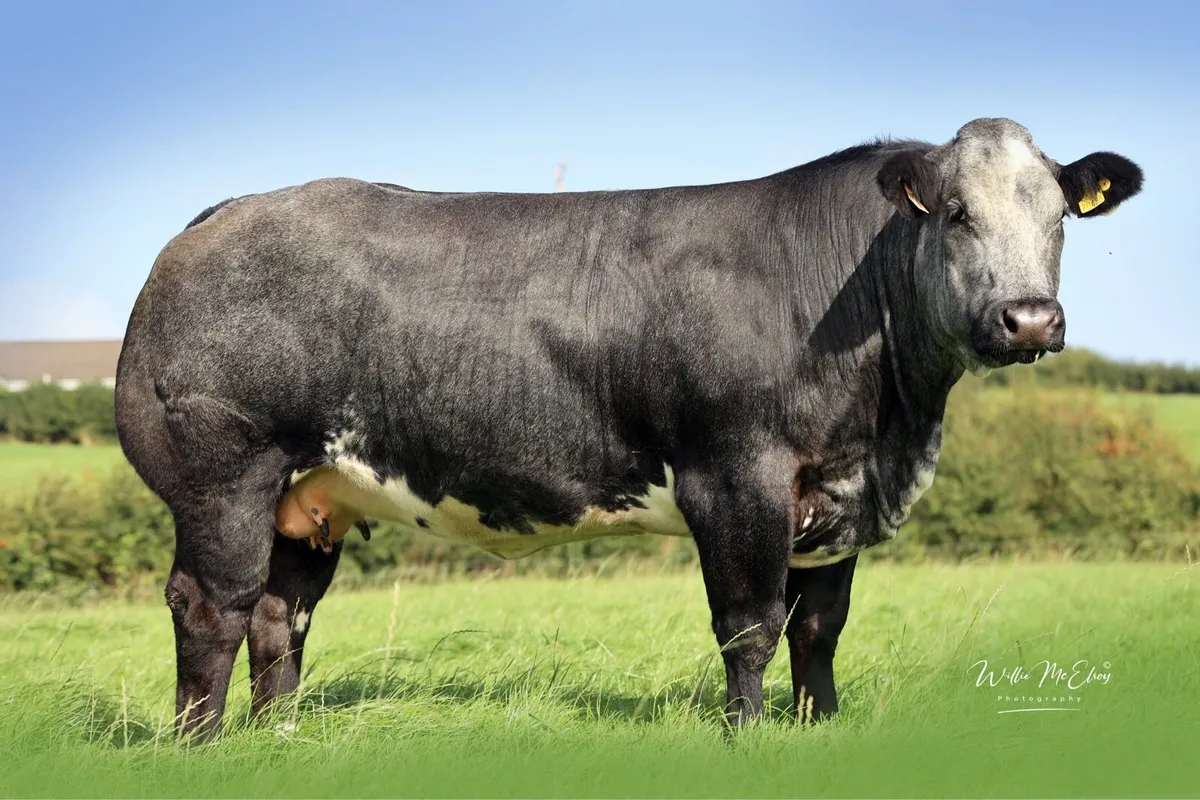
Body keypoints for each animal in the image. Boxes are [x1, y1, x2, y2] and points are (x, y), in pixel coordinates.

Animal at [114, 118, 1142, 739]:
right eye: (956, 213)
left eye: (1060, 216)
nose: (1030, 320)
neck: (891, 429)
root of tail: (227, 212)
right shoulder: (736, 476)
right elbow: (750, 625)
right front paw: (746, 737)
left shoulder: (836, 495)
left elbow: (820, 630)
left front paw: (819, 727)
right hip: (225, 478)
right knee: (212, 605)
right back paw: (202, 745)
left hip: (309, 495)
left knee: (280, 613)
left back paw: (282, 736)